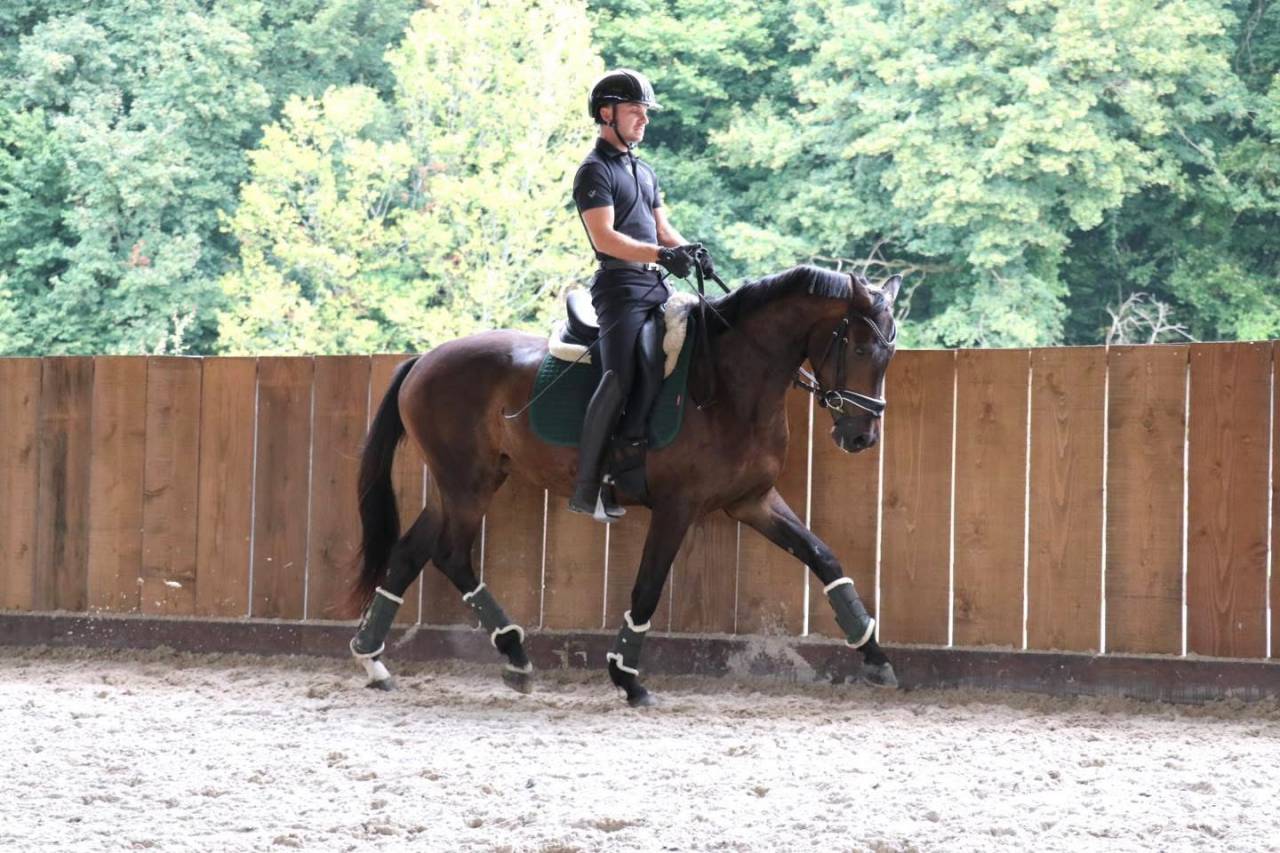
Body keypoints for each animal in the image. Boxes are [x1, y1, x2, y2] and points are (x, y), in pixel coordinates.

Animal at [348, 264, 902, 706]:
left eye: (888, 356)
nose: (860, 436)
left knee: (409, 553)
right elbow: (648, 586)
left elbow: (823, 558)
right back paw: (515, 653)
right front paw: (626, 677)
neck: (729, 383)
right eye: (857, 347)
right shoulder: (678, 507)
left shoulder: (753, 501)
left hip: (462, 484)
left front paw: (875, 655)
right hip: (469, 484)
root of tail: (423, 360)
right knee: (451, 554)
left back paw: (373, 660)